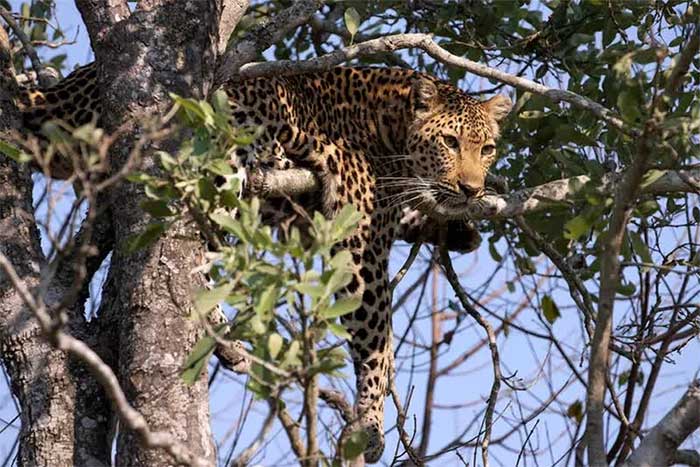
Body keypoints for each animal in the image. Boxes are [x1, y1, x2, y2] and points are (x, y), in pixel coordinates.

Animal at [15, 63, 508, 464]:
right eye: (450, 142)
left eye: (486, 150)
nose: (471, 189)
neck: (392, 122)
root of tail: (68, 88)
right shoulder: (360, 239)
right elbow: (378, 342)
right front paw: (370, 425)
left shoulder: (306, 220)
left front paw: (456, 228)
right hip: (224, 162)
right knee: (196, 252)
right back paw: (223, 335)